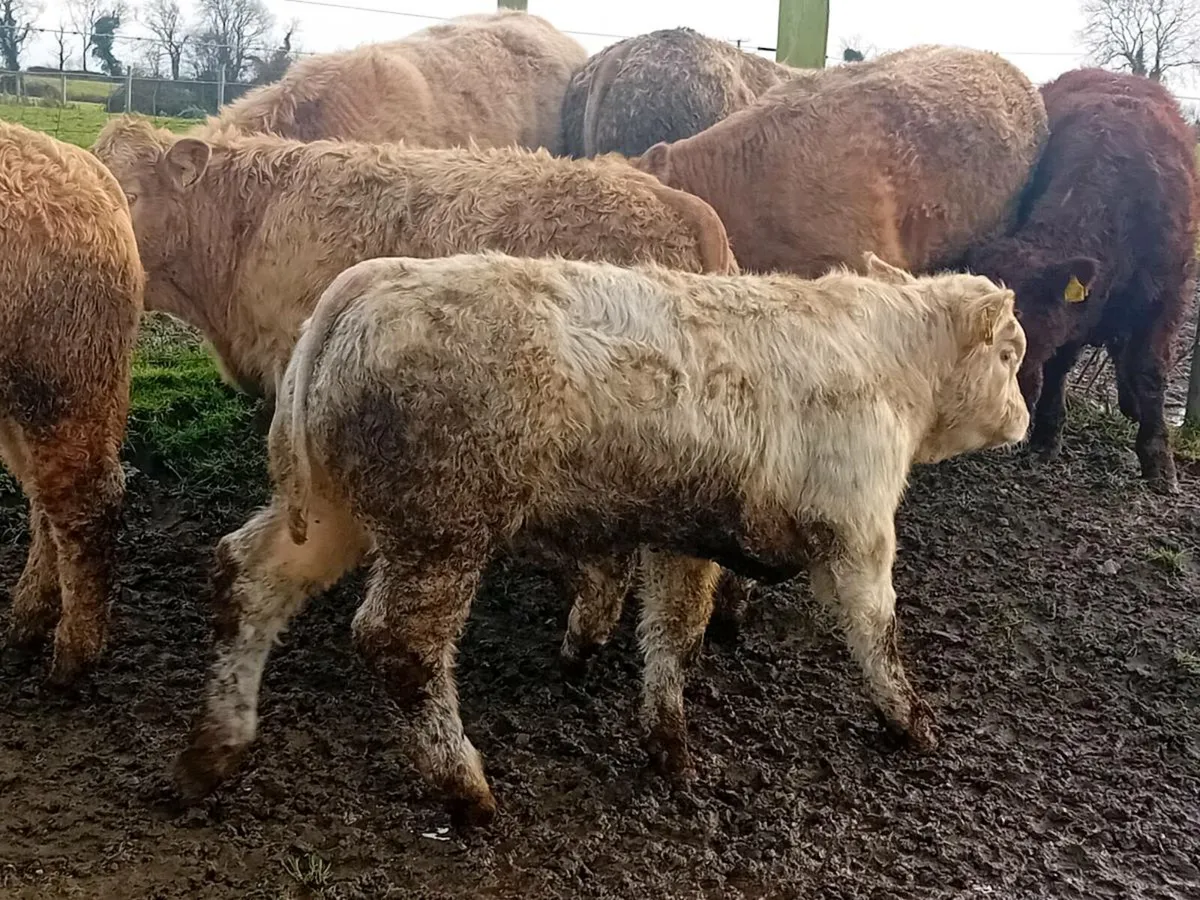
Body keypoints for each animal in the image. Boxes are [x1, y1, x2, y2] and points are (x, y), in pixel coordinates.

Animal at [171, 250, 1030, 827]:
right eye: (1012, 353)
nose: (1024, 418)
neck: (881, 356)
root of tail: (369, 282)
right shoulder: (857, 532)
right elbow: (876, 633)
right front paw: (910, 720)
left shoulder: (682, 535)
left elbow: (673, 633)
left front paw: (667, 742)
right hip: (441, 530)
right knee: (401, 645)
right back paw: (465, 787)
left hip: (337, 512)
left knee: (248, 579)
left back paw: (215, 747)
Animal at [962, 68, 1199, 494]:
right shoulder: (1076, 317)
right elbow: (1059, 367)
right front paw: (1046, 438)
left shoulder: (1165, 301)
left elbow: (1151, 371)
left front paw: (1159, 461)